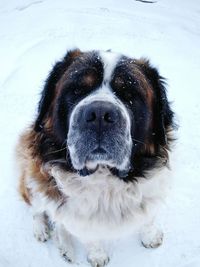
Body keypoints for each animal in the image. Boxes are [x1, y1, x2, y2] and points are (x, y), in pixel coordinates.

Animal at [16, 49, 174, 266]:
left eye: (129, 95)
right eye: (77, 90)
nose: (100, 114)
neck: (105, 180)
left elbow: (148, 217)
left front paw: (150, 237)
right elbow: (90, 236)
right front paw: (97, 255)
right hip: (34, 180)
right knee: (38, 209)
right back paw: (41, 229)